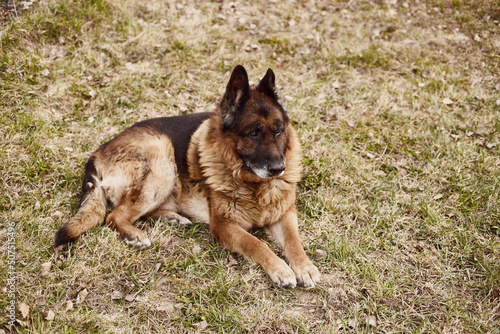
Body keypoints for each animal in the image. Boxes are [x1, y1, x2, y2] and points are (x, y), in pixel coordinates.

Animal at [54, 65, 320, 288]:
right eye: (253, 133)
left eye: (278, 131)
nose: (278, 168)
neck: (253, 184)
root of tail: (97, 153)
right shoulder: (224, 226)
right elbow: (256, 243)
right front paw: (280, 268)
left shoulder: (285, 213)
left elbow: (294, 240)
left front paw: (304, 266)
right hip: (162, 156)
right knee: (114, 216)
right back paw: (134, 234)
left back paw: (171, 218)